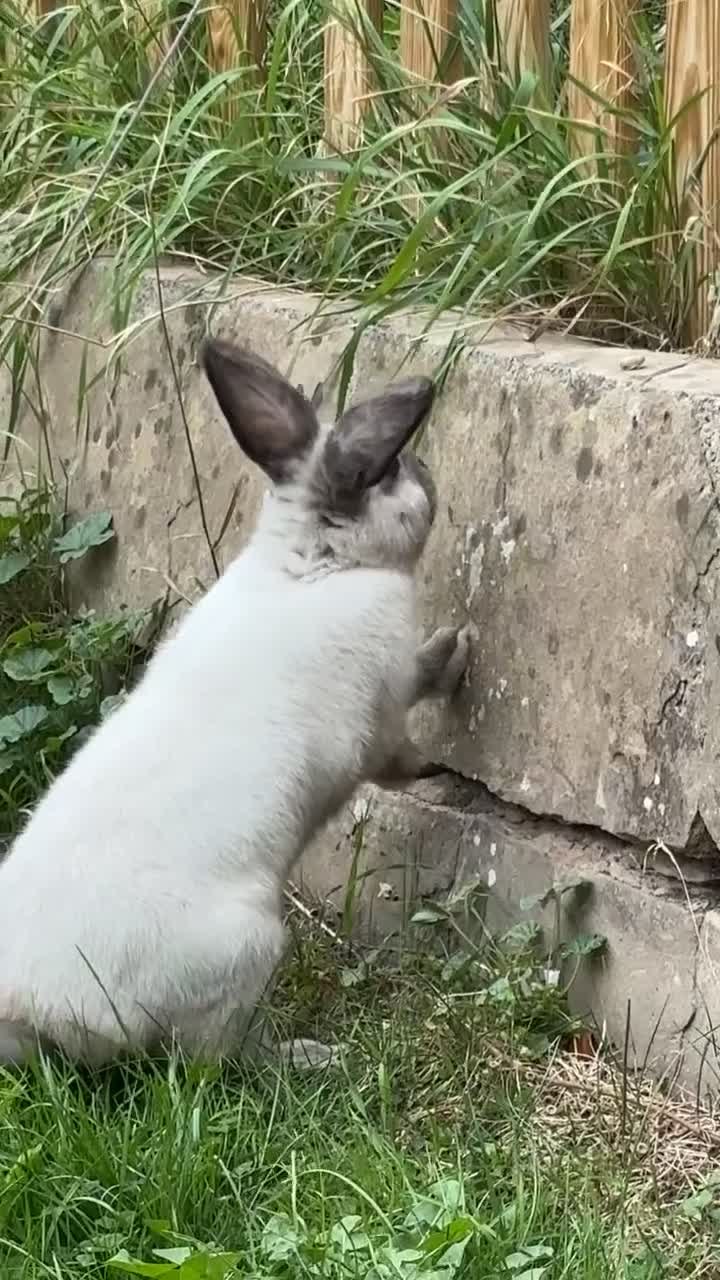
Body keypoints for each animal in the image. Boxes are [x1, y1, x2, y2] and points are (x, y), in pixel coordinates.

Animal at [0, 340, 470, 1069]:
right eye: (389, 470)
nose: (431, 474)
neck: (314, 563)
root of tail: (37, 1011)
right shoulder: (383, 715)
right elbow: (404, 745)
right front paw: (456, 661)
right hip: (248, 949)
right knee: (213, 1061)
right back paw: (310, 1056)